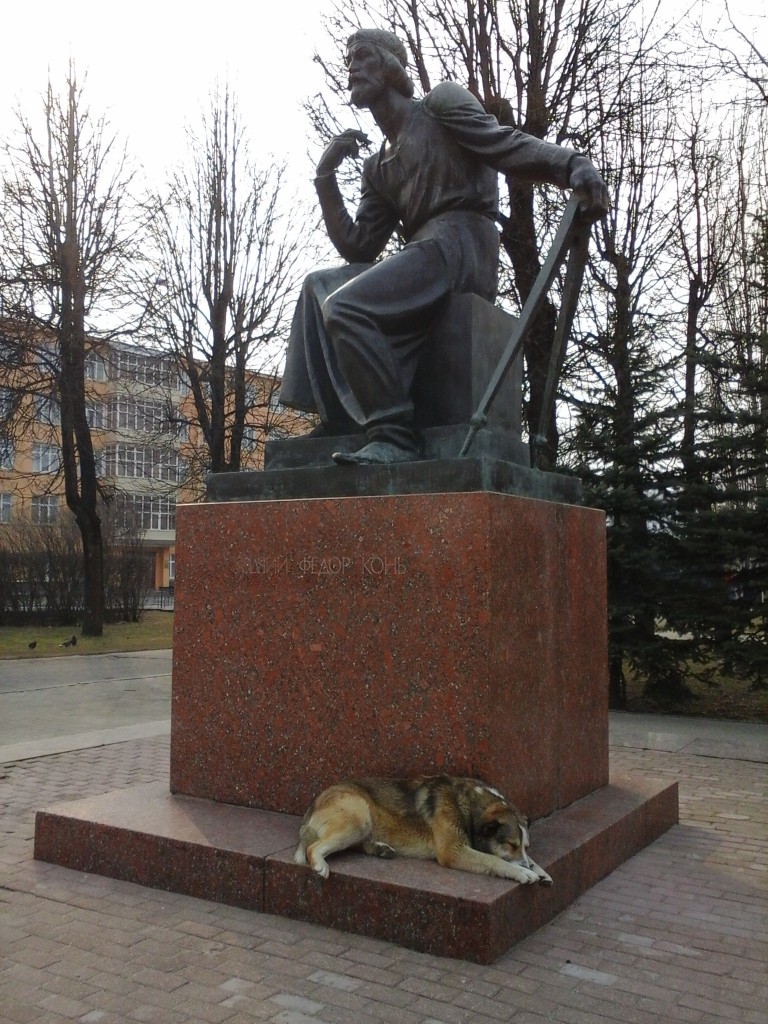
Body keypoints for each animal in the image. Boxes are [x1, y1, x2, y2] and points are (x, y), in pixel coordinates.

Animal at [294, 770, 552, 884]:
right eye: (510, 844)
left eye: (525, 846)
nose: (525, 863)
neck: (467, 805)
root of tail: (315, 801)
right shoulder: (452, 851)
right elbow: (494, 860)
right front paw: (523, 872)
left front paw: (538, 869)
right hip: (359, 816)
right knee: (313, 848)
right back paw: (320, 865)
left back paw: (380, 849)